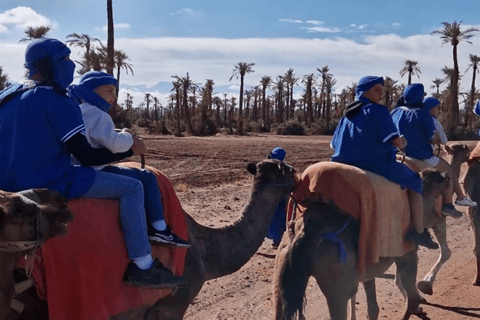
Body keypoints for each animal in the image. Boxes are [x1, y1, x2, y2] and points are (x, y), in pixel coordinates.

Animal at [272, 168, 448, 320]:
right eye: (439, 178)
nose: (447, 175)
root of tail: (303, 232)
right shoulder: (407, 254)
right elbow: (410, 298)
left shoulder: (366, 268)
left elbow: (373, 307)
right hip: (336, 286)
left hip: (282, 271)